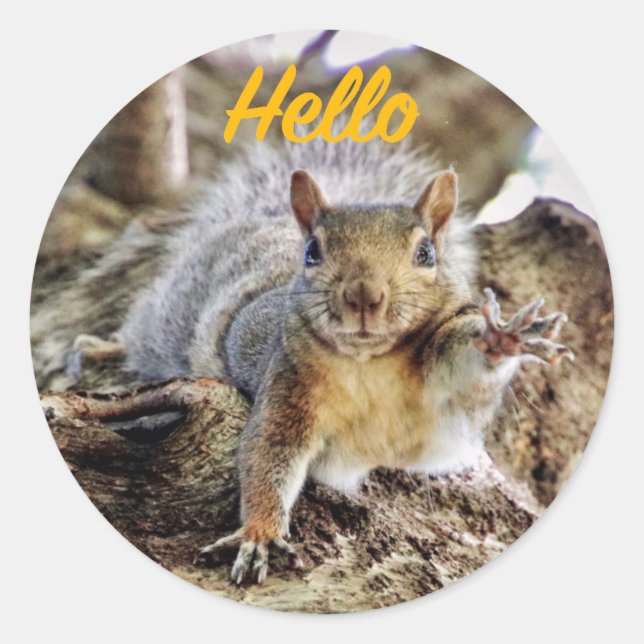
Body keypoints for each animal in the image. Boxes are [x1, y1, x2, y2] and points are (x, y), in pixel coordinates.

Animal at [72, 135, 573, 584]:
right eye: (313, 251)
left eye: (426, 253)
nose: (364, 295)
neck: (370, 360)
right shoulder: (288, 385)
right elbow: (267, 453)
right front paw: (259, 534)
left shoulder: (447, 382)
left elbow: (469, 374)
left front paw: (503, 337)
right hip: (173, 313)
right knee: (140, 330)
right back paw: (97, 347)